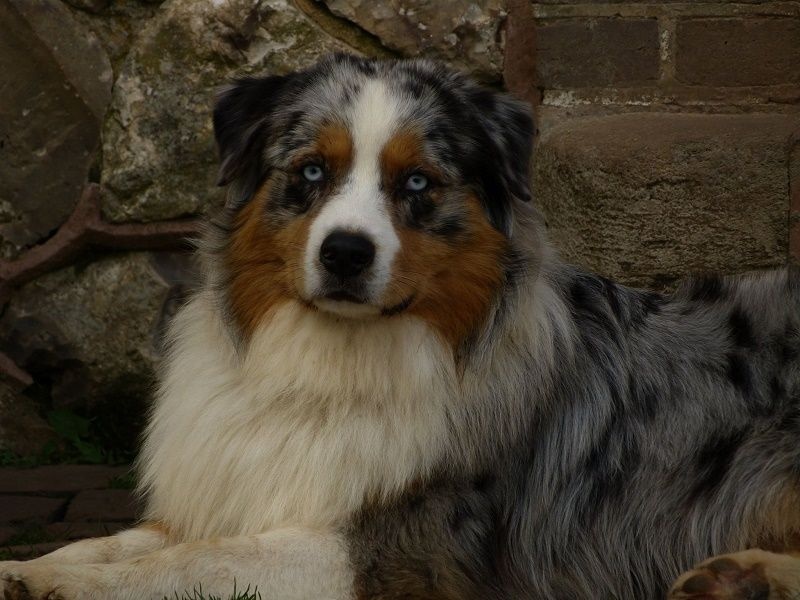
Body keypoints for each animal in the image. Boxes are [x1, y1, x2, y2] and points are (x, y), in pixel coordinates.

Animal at [1, 53, 799, 600]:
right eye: (311, 171)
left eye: (416, 182)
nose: (345, 253)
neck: (333, 362)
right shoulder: (225, 497)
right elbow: (119, 542)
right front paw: (31, 566)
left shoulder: (398, 550)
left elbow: (199, 562)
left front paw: (68, 588)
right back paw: (735, 577)